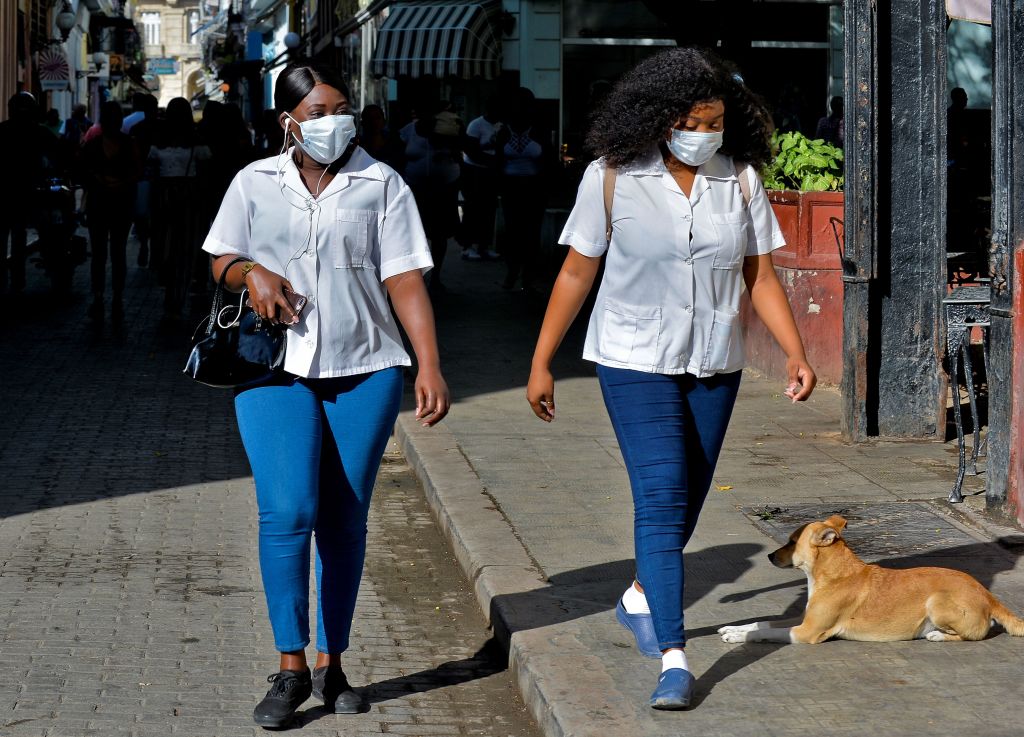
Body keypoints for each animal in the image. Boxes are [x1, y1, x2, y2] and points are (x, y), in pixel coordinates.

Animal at [720, 515, 1024, 642]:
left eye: (792, 542)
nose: (770, 556)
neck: (834, 574)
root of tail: (988, 595)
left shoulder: (806, 632)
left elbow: (767, 632)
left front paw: (739, 638)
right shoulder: (803, 619)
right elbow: (762, 623)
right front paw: (735, 629)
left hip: (936, 603)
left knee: (974, 635)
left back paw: (936, 635)